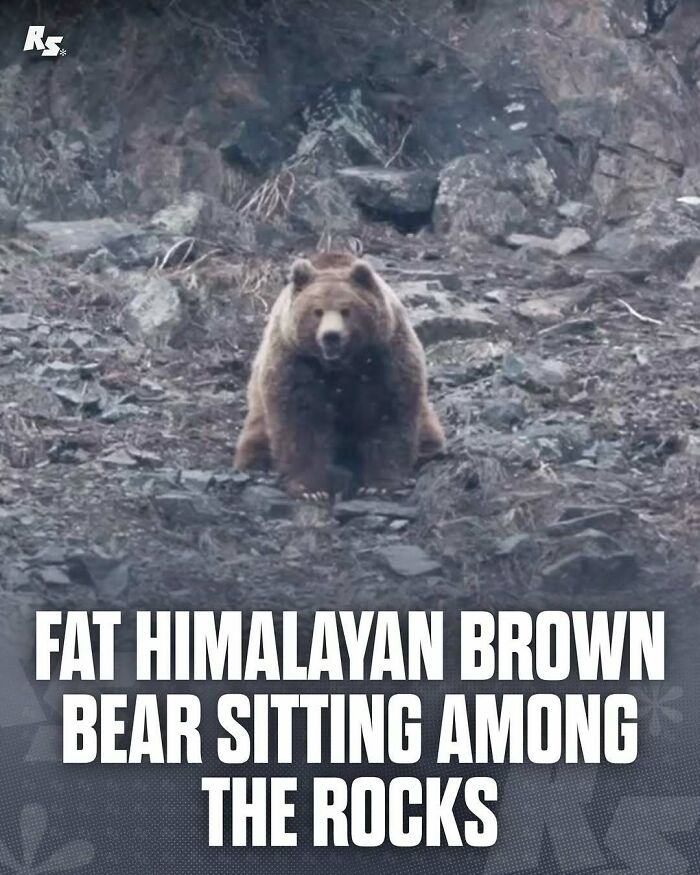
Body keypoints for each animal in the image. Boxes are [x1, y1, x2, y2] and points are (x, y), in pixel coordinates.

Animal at [234, 252, 445, 497]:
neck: (340, 365)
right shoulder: (296, 362)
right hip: (259, 403)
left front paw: (379, 484)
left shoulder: (384, 357)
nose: (331, 336)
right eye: (317, 311)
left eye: (346, 310)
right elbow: (301, 420)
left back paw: (429, 451)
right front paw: (311, 488)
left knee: (427, 428)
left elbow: (388, 413)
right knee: (257, 434)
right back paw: (259, 465)